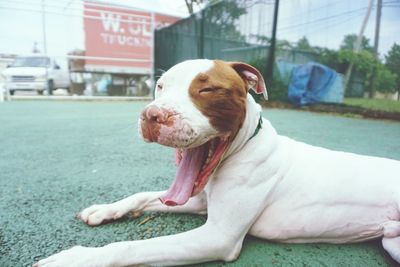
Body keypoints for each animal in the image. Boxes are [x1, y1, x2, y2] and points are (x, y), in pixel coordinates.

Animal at [33, 59, 400, 266]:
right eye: (160, 86)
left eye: (207, 90)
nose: (152, 115)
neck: (244, 147)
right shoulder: (198, 200)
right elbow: (142, 196)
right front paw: (105, 209)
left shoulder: (217, 236)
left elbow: (131, 248)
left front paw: (77, 257)